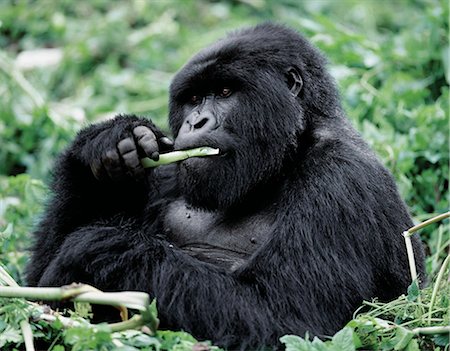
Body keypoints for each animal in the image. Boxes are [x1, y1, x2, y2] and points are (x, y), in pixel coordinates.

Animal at [25, 23, 426, 350]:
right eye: (193, 99)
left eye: (224, 91)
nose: (196, 122)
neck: (287, 154)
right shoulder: (168, 169)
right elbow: (36, 286)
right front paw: (105, 144)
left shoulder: (342, 180)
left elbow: (289, 319)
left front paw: (97, 249)